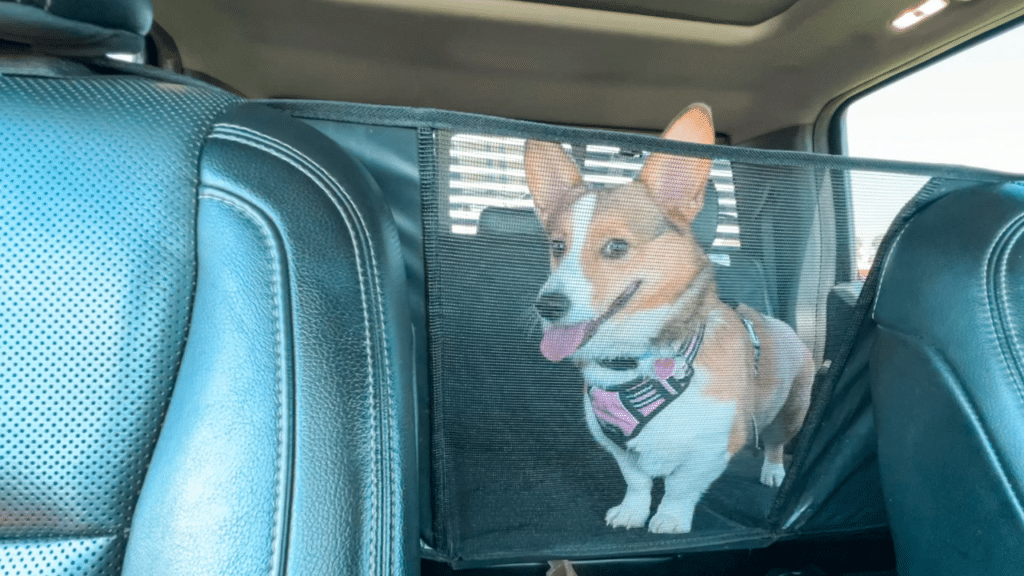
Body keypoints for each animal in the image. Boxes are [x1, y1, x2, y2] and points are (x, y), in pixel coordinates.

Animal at [528, 104, 815, 532]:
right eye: (558, 246)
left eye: (617, 247)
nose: (546, 306)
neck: (635, 361)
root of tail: (783, 325)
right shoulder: (617, 445)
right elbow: (637, 481)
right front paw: (632, 512)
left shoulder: (711, 449)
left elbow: (681, 486)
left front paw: (669, 519)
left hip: (792, 411)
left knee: (776, 443)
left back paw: (773, 472)